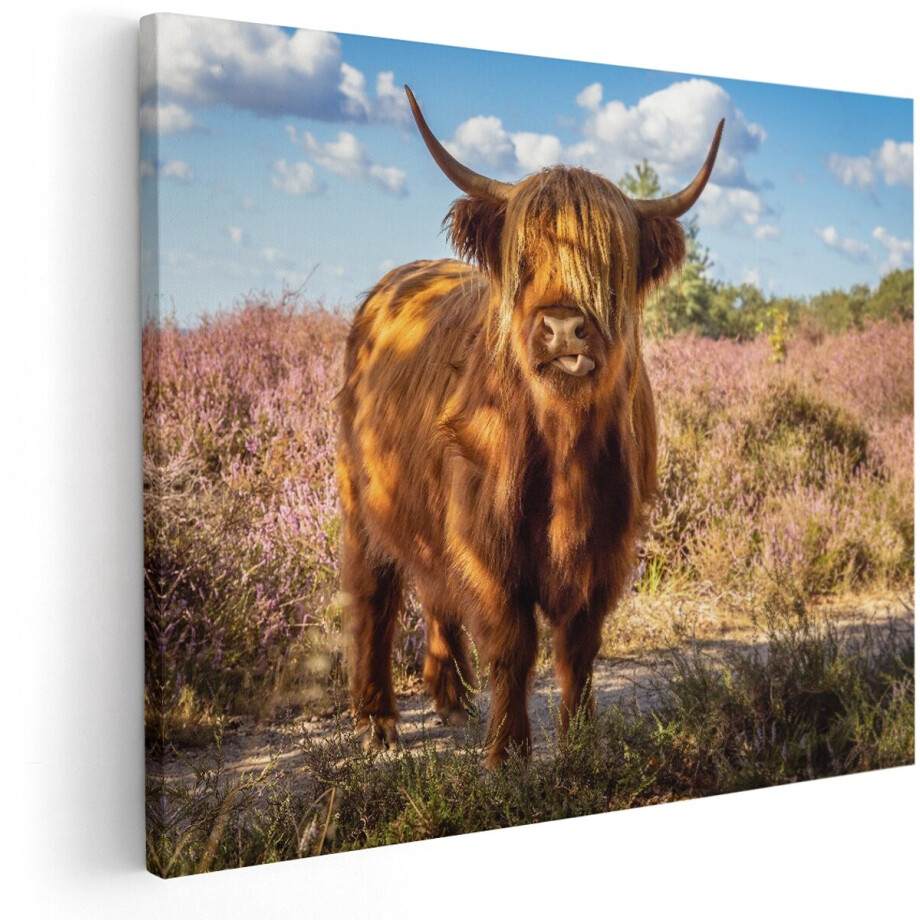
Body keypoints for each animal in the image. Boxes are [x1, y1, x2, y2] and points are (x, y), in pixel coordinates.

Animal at [337, 86, 723, 766]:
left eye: (609, 261)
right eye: (526, 256)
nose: (565, 327)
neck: (563, 446)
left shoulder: (606, 546)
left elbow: (578, 647)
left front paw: (580, 742)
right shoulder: (488, 543)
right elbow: (512, 645)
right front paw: (509, 753)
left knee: (435, 592)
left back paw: (452, 701)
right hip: (363, 500)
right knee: (373, 597)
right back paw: (378, 721)